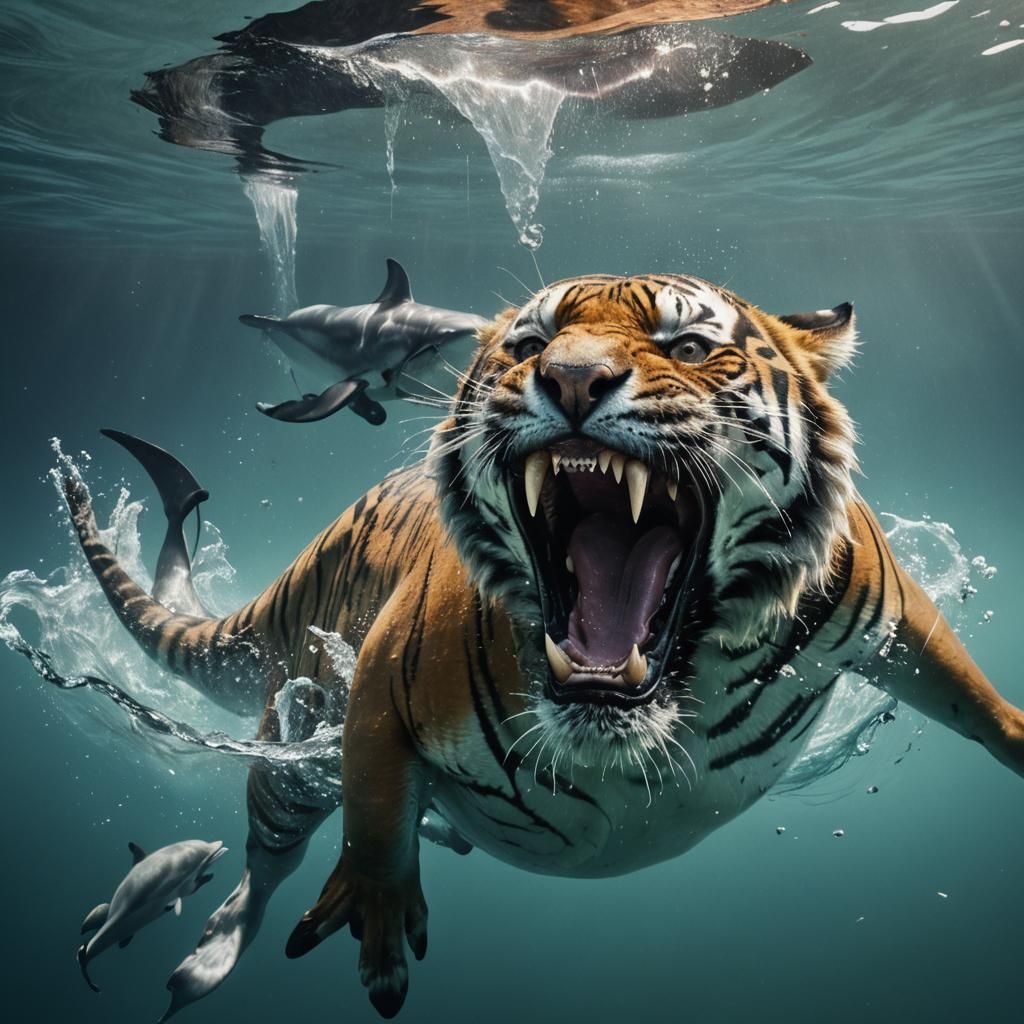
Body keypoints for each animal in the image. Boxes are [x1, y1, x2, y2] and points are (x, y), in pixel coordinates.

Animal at [61, 271, 1024, 1020]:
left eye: (687, 345)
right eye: (531, 343)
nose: (571, 380)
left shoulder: (890, 607)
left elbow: (966, 691)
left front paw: (1017, 735)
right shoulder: (381, 678)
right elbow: (373, 814)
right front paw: (378, 914)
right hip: (289, 761)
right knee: (268, 860)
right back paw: (209, 958)